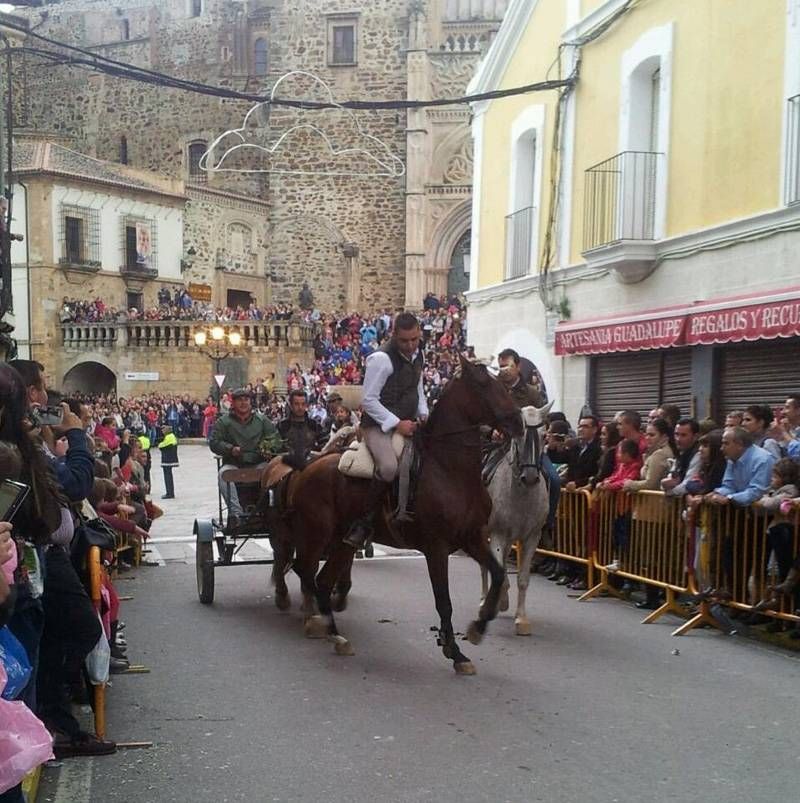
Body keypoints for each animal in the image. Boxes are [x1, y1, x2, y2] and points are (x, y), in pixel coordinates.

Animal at [274, 354, 524, 676]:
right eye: (483, 385)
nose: (518, 421)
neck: (449, 469)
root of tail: (306, 466)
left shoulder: (472, 539)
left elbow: (498, 574)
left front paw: (479, 627)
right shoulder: (436, 548)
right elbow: (444, 601)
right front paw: (455, 651)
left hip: (342, 542)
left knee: (322, 580)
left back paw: (336, 635)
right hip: (317, 534)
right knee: (304, 570)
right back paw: (322, 623)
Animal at [478, 406, 552, 636]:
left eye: (544, 435)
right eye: (518, 436)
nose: (530, 477)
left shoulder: (531, 537)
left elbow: (523, 579)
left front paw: (522, 619)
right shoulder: (498, 535)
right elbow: (499, 572)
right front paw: (497, 603)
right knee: (485, 566)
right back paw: (484, 601)